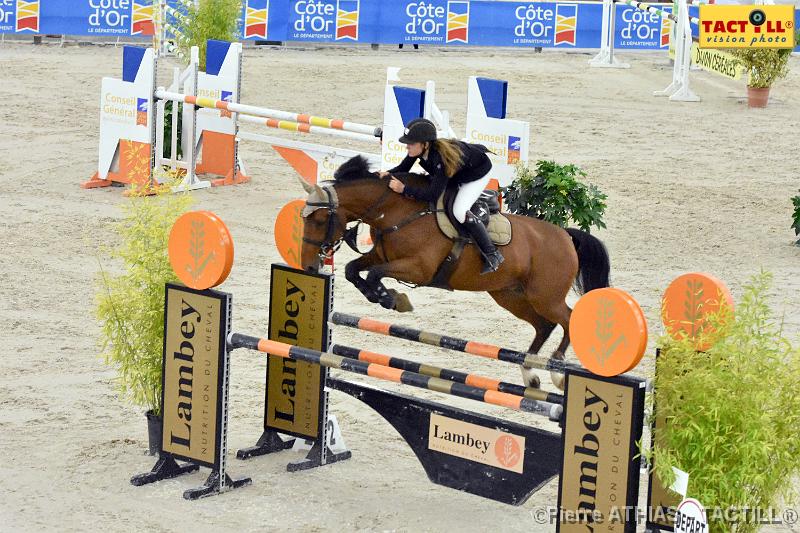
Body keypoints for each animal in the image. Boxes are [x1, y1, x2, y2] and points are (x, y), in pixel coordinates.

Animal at [296, 154, 608, 386]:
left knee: (567, 319)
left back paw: (557, 371)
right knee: (544, 325)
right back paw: (529, 372)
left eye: (320, 219)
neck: (396, 210)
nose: (309, 265)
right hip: (510, 295)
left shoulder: (418, 269)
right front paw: (381, 296)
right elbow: (353, 270)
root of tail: (566, 236)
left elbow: (374, 274)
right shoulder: (379, 255)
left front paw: (392, 298)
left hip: (545, 297)